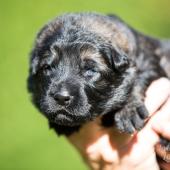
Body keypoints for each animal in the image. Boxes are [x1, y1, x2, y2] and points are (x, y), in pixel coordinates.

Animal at [27, 12, 170, 150]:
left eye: (90, 70)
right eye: (48, 67)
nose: (61, 97)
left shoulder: (149, 61)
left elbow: (138, 79)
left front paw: (129, 112)